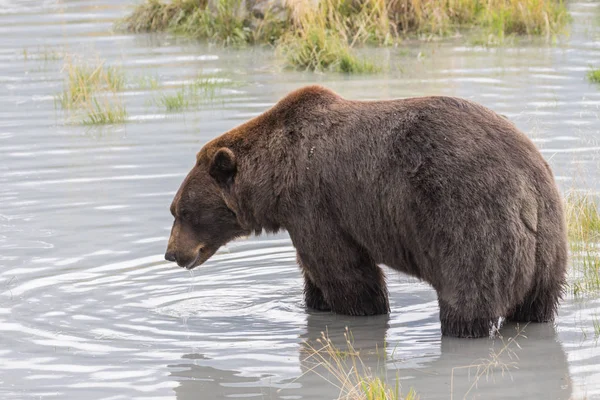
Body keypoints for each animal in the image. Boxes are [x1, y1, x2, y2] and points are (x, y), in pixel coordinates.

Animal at [164, 84, 568, 338]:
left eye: (181, 211)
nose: (171, 253)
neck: (277, 177)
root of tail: (527, 186)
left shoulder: (316, 206)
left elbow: (346, 274)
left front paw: (359, 309)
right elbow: (315, 275)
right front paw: (315, 304)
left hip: (470, 222)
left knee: (468, 299)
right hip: (548, 246)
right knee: (537, 306)